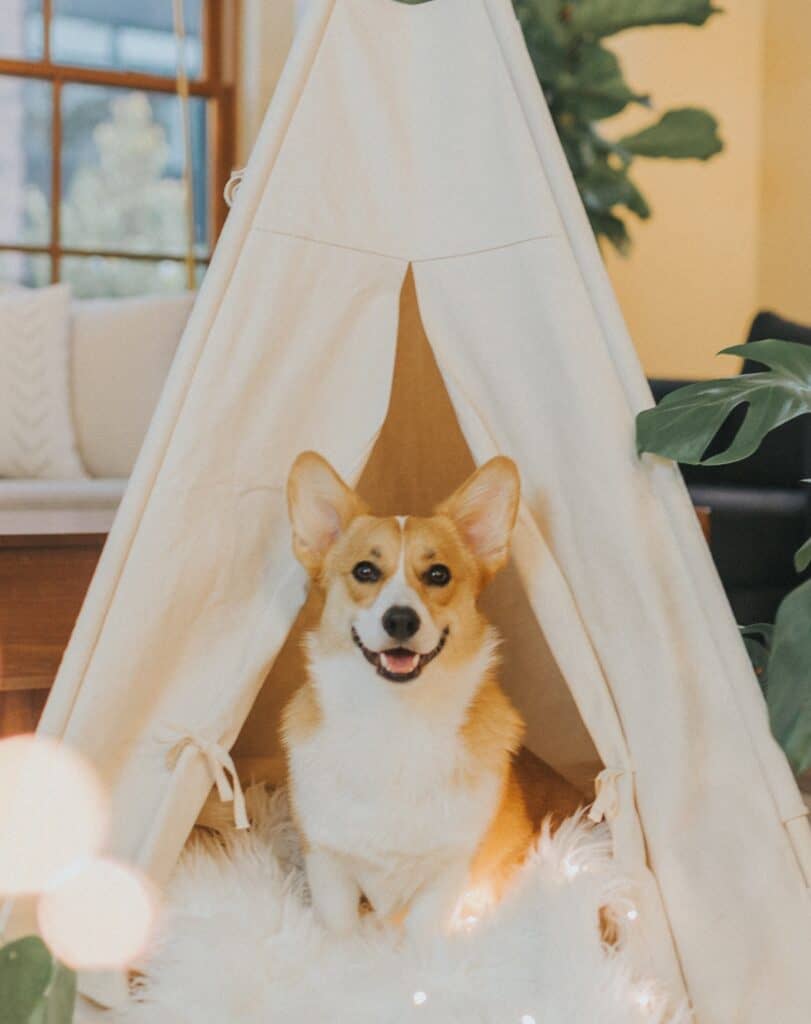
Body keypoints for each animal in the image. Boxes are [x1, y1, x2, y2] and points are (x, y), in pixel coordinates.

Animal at [282, 452, 581, 933]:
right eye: (365, 571)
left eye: (439, 574)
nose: (401, 619)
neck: (397, 718)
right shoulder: (327, 862)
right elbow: (339, 933)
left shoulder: (447, 872)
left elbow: (421, 937)